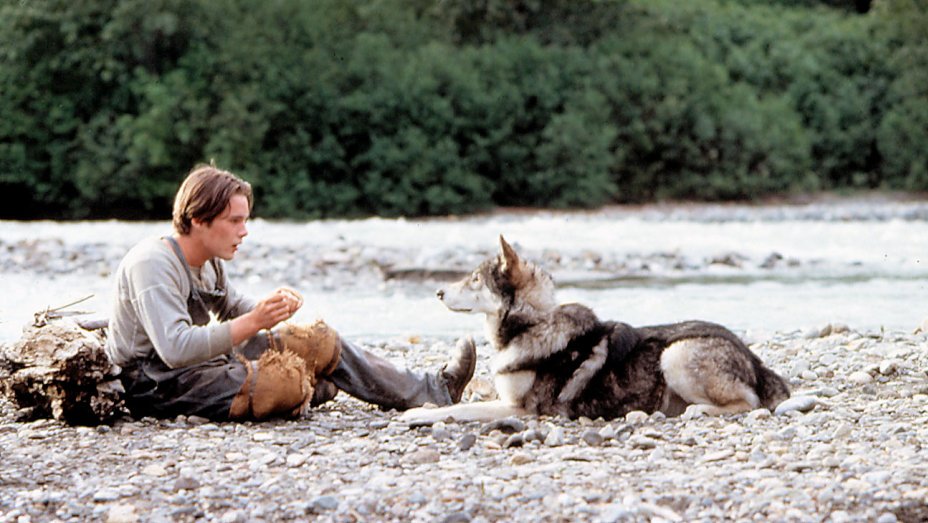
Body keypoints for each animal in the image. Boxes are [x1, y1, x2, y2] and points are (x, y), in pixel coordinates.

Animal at [400, 236, 789, 425]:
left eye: (475, 280)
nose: (437, 292)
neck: (534, 324)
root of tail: (754, 359)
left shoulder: (522, 410)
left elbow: (458, 410)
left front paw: (419, 413)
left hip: (675, 354)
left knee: (749, 403)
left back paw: (701, 411)